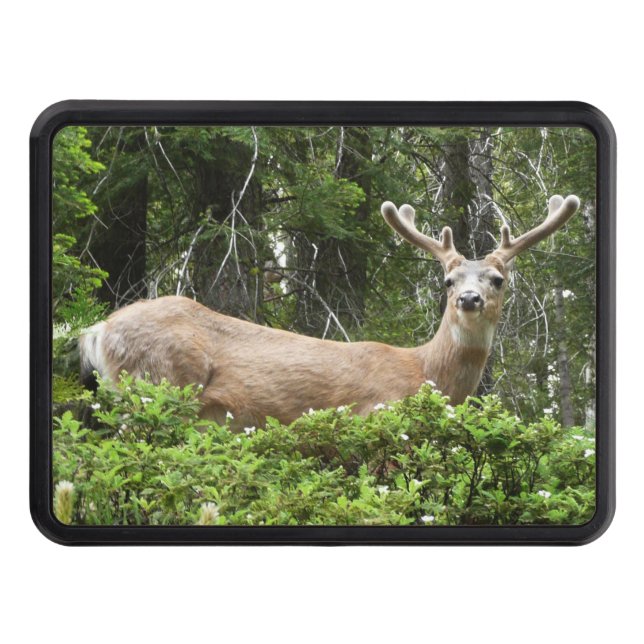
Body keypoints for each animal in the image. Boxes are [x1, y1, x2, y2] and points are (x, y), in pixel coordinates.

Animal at [80, 194, 580, 429]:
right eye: (448, 281)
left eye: (497, 279)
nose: (469, 299)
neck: (424, 372)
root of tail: (98, 329)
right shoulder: (375, 416)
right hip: (155, 382)